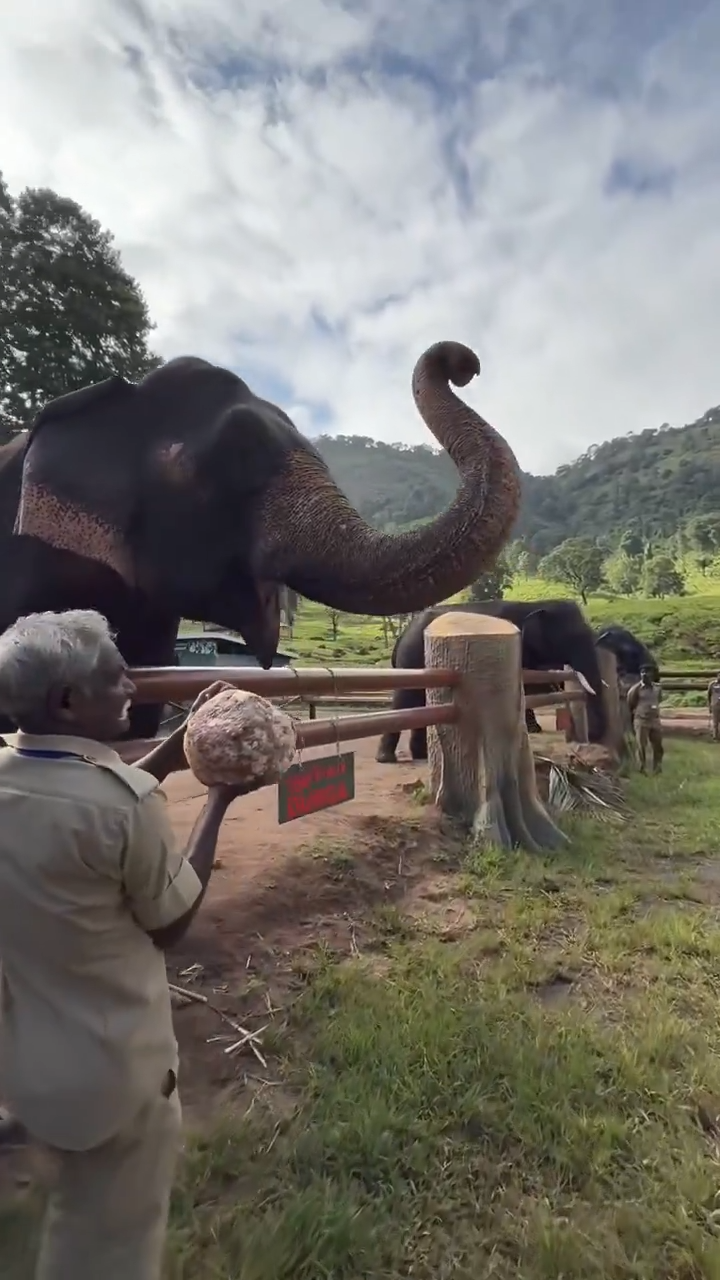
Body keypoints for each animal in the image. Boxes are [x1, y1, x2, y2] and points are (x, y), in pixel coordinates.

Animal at [375, 598, 607, 763]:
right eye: (573, 637)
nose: (593, 738)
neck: (538, 604)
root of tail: (403, 634)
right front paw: (533, 730)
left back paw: (420, 756)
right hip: (411, 658)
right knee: (406, 699)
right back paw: (387, 758)